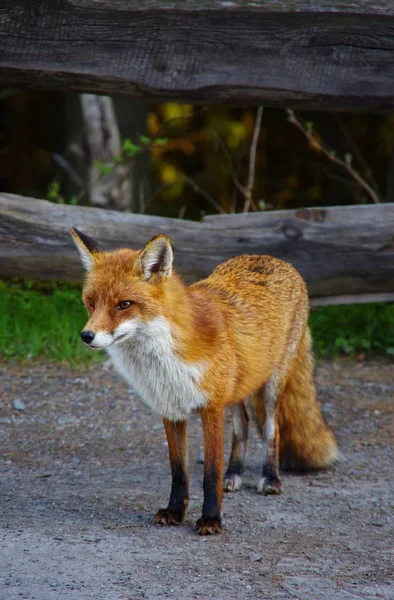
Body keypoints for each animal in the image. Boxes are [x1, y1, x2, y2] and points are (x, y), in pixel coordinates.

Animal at [69, 229, 338, 536]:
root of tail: (273, 258)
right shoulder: (170, 410)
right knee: (242, 429)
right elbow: (178, 470)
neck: (165, 362)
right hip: (238, 391)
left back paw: (270, 478)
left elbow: (210, 472)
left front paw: (211, 519)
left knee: (273, 430)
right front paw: (175, 511)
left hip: (270, 388)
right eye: (91, 302)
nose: (87, 336)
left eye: (124, 304)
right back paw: (234, 474)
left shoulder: (212, 409)